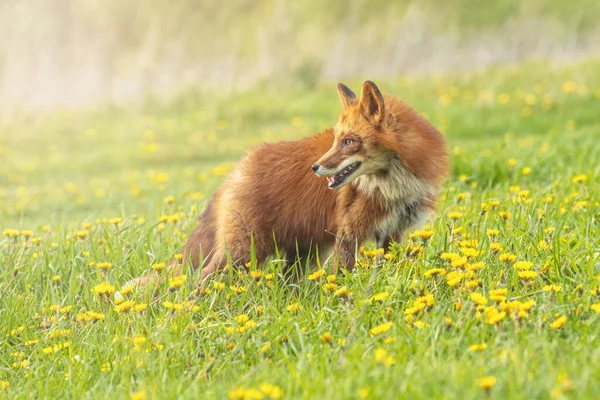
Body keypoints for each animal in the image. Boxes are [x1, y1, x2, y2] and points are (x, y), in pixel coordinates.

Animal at [132, 81, 450, 288]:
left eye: (349, 141)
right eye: (336, 140)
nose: (316, 167)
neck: (393, 186)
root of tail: (238, 169)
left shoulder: (393, 234)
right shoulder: (350, 234)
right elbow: (343, 278)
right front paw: (343, 304)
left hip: (301, 256)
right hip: (242, 253)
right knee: (202, 279)